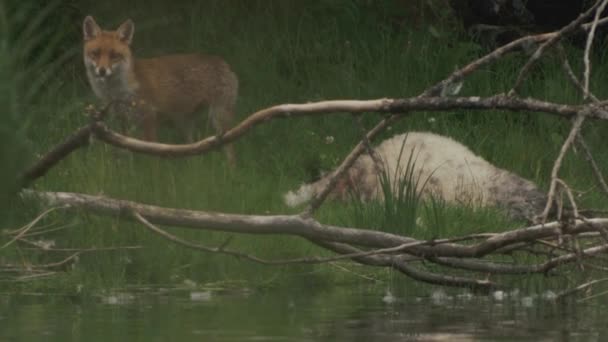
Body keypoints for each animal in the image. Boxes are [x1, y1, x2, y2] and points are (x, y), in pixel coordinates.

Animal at [82, 16, 238, 166]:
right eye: (95, 53)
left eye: (114, 55)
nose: (102, 71)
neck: (118, 92)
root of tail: (221, 61)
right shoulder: (122, 121)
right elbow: (127, 153)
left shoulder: (149, 117)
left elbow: (152, 156)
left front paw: (153, 174)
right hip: (185, 124)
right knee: (192, 151)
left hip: (219, 120)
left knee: (230, 151)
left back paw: (231, 172)